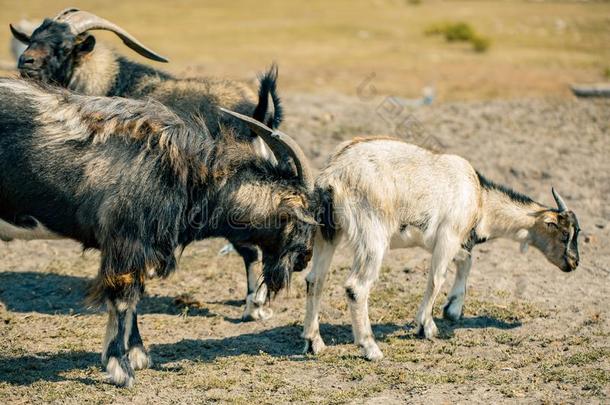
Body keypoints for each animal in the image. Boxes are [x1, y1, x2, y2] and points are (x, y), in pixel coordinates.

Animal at [304, 137, 580, 360]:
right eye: (565, 234)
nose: (574, 262)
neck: (480, 198)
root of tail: (333, 174)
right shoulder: (447, 237)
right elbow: (437, 278)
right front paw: (426, 326)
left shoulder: (447, 242)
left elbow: (465, 262)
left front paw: (452, 310)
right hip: (372, 237)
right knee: (356, 287)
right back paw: (370, 348)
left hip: (327, 234)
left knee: (314, 279)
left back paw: (314, 342)